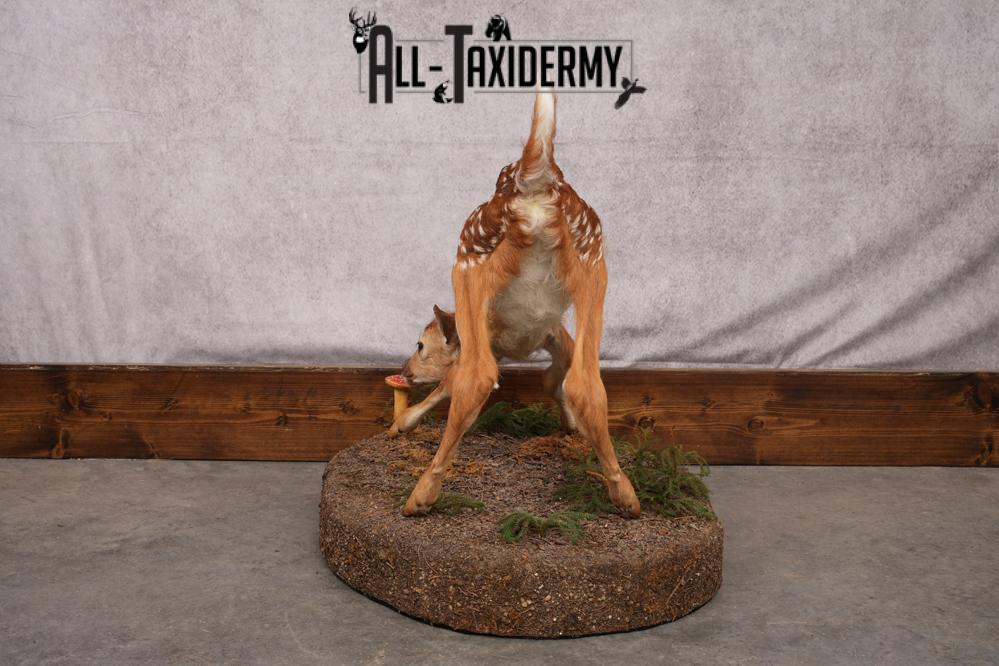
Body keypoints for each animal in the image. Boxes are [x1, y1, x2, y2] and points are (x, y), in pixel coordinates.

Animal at [389, 91, 641, 519]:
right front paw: (570, 424)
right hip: (594, 265)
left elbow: (449, 383)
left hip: (467, 264)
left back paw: (421, 494)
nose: (403, 371)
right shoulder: (555, 329)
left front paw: (400, 424)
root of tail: (535, 184)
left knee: (475, 378)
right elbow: (555, 379)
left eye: (421, 344)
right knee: (588, 384)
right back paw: (624, 494)